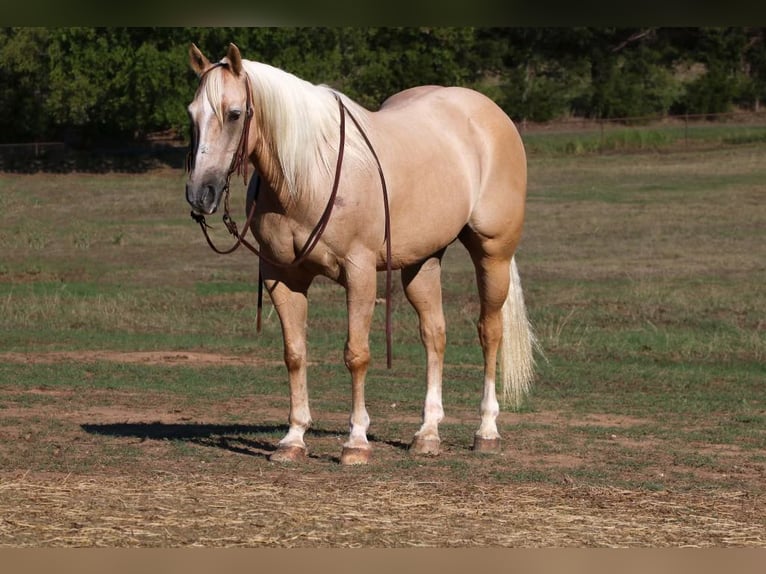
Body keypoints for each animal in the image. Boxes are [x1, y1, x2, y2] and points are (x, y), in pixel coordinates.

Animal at [186, 44, 536, 468]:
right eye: (192, 114)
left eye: (235, 113)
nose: (200, 193)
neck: (309, 175)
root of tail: (490, 113)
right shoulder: (281, 277)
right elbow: (294, 354)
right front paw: (293, 439)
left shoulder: (360, 273)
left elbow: (356, 354)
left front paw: (355, 441)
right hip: (421, 262)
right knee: (434, 335)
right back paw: (427, 434)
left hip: (492, 253)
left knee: (490, 331)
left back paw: (486, 430)